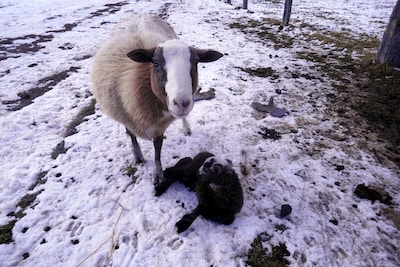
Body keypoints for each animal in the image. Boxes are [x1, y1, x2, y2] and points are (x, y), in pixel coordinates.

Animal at [89, 14, 223, 186]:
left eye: (196, 62)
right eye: (155, 63)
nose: (182, 103)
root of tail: (140, 14)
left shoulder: (160, 125)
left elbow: (157, 146)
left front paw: (158, 174)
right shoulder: (125, 115)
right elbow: (131, 136)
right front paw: (138, 156)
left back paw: (186, 127)